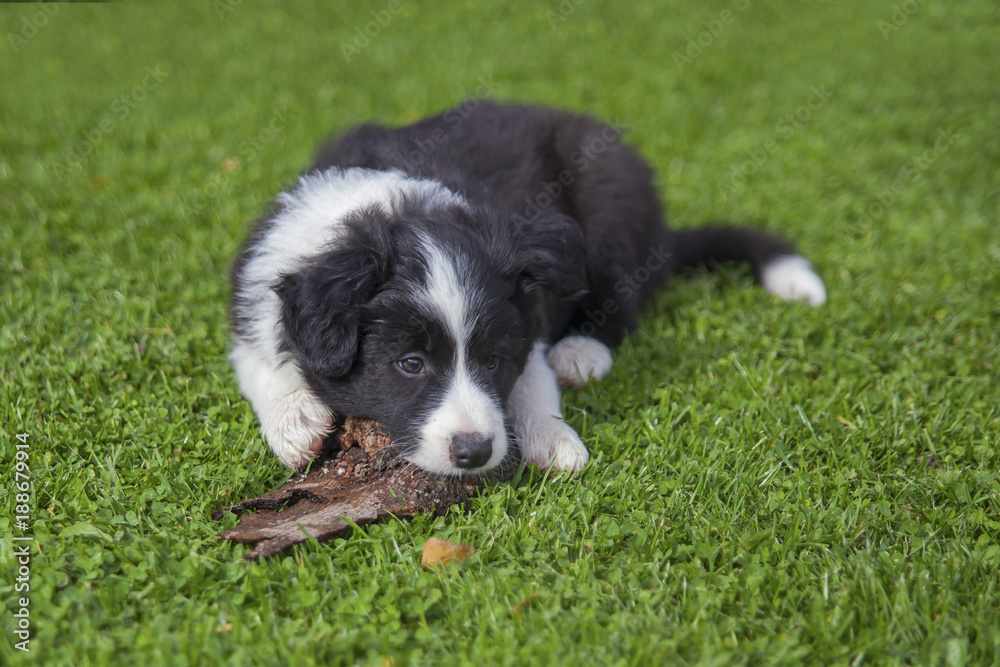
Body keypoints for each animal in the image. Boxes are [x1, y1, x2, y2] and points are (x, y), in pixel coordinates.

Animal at [230, 102, 824, 478]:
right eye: (410, 364)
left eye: (492, 361)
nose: (474, 452)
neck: (386, 207)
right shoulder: (259, 285)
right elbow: (259, 356)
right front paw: (296, 423)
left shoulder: (528, 313)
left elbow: (533, 375)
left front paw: (554, 438)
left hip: (608, 201)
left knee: (624, 295)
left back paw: (582, 350)